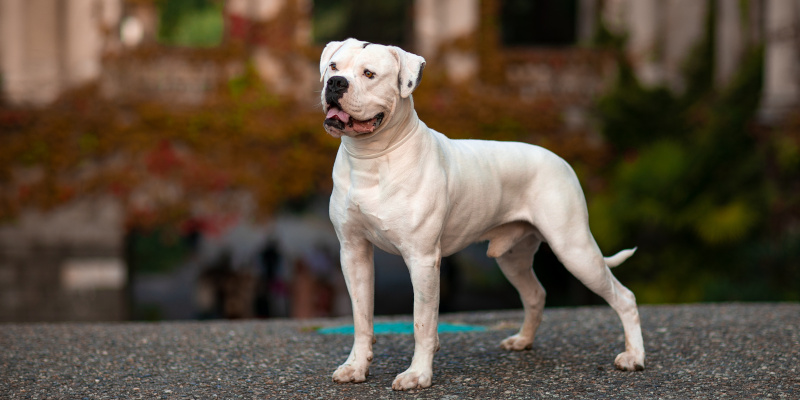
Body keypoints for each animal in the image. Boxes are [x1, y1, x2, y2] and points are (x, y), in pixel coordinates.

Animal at [318, 39, 644, 390]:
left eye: (369, 74)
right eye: (334, 66)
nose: (335, 83)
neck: (372, 158)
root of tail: (560, 160)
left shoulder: (422, 259)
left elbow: (422, 322)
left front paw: (418, 374)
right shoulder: (354, 253)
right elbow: (361, 318)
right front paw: (355, 366)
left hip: (575, 249)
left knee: (625, 297)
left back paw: (634, 357)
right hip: (513, 258)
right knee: (535, 293)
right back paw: (523, 340)